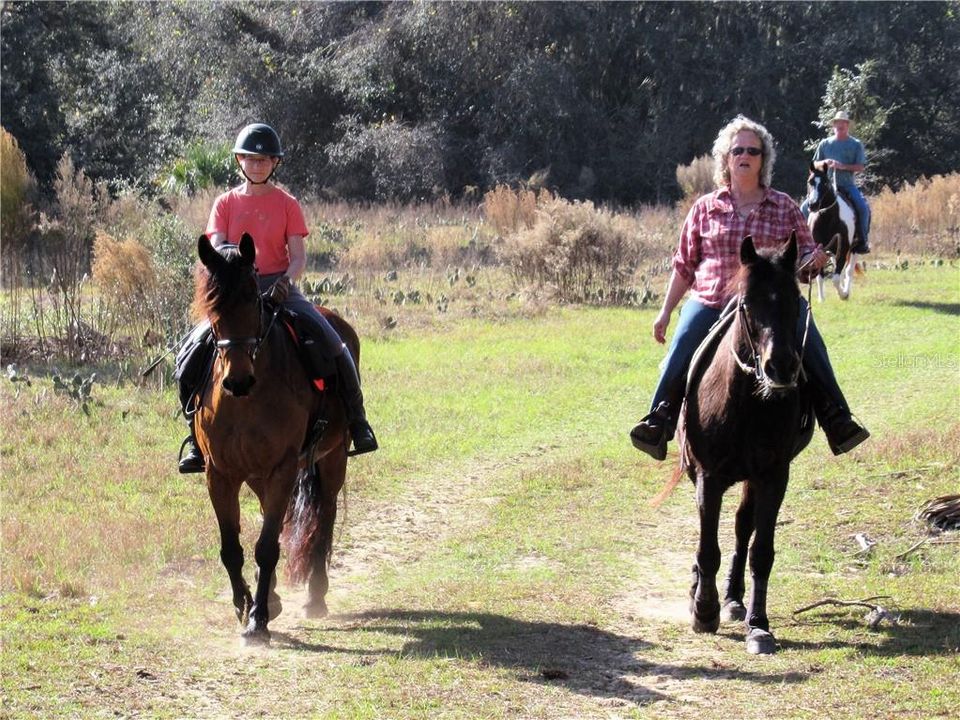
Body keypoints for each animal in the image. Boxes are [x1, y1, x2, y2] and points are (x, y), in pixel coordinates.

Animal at [190, 233, 352, 644]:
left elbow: (266, 547)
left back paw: (315, 598)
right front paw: (244, 606)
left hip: (332, 458)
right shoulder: (220, 473)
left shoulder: (283, 468)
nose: (237, 381)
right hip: (257, 476)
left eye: (252, 298)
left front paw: (258, 620)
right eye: (211, 304)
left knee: (324, 518)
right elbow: (232, 548)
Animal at [676, 233, 808, 656]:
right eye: (748, 303)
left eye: (796, 299)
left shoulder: (773, 476)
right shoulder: (708, 476)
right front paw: (704, 609)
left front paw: (758, 625)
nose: (780, 367)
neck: (749, 404)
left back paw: (735, 599)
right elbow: (707, 547)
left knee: (741, 527)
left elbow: (760, 551)